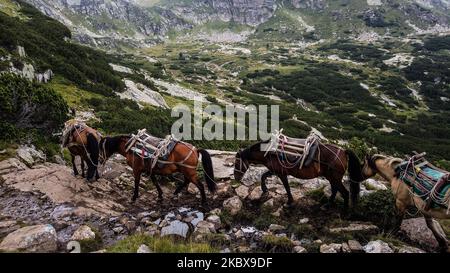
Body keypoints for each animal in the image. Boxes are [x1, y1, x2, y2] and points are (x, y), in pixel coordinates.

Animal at [234, 140, 364, 210]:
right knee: (335, 190)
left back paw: (344, 210)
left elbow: (286, 187)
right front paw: (265, 190)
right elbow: (263, 176)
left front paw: (289, 202)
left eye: (237, 162)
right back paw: (327, 205)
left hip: (335, 177)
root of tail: (344, 151)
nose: (236, 177)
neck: (270, 152)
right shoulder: (275, 171)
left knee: (344, 192)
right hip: (332, 178)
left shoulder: (281, 173)